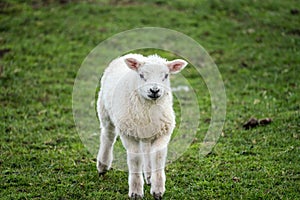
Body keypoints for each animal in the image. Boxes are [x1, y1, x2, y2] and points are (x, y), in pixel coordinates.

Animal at [97, 52, 188, 198]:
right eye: (141, 75)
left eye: (166, 75)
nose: (154, 90)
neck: (149, 108)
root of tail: (131, 54)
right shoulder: (128, 134)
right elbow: (135, 159)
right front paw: (136, 192)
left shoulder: (163, 132)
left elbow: (157, 156)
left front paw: (157, 189)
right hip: (105, 111)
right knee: (108, 136)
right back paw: (102, 166)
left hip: (146, 131)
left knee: (146, 149)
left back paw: (149, 175)